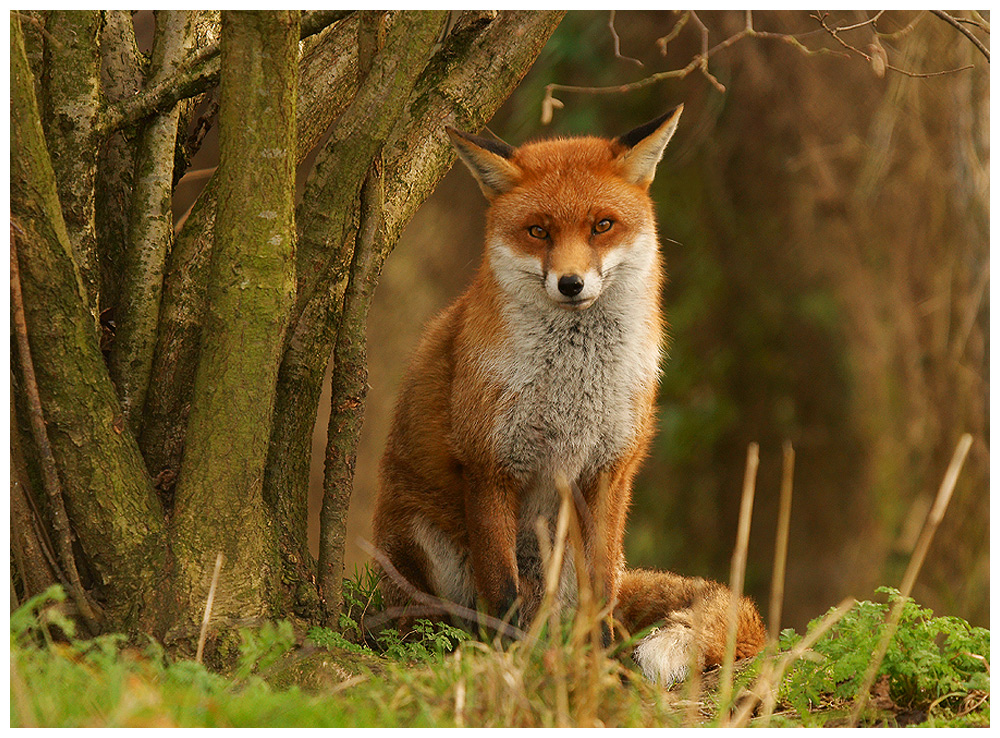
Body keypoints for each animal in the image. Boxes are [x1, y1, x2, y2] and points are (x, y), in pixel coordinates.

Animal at [371, 106, 765, 685]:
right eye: (538, 231)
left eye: (602, 225)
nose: (571, 283)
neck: (574, 382)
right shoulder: (489, 466)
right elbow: (502, 593)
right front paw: (507, 664)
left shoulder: (609, 469)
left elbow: (599, 594)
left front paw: (599, 667)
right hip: (423, 545)